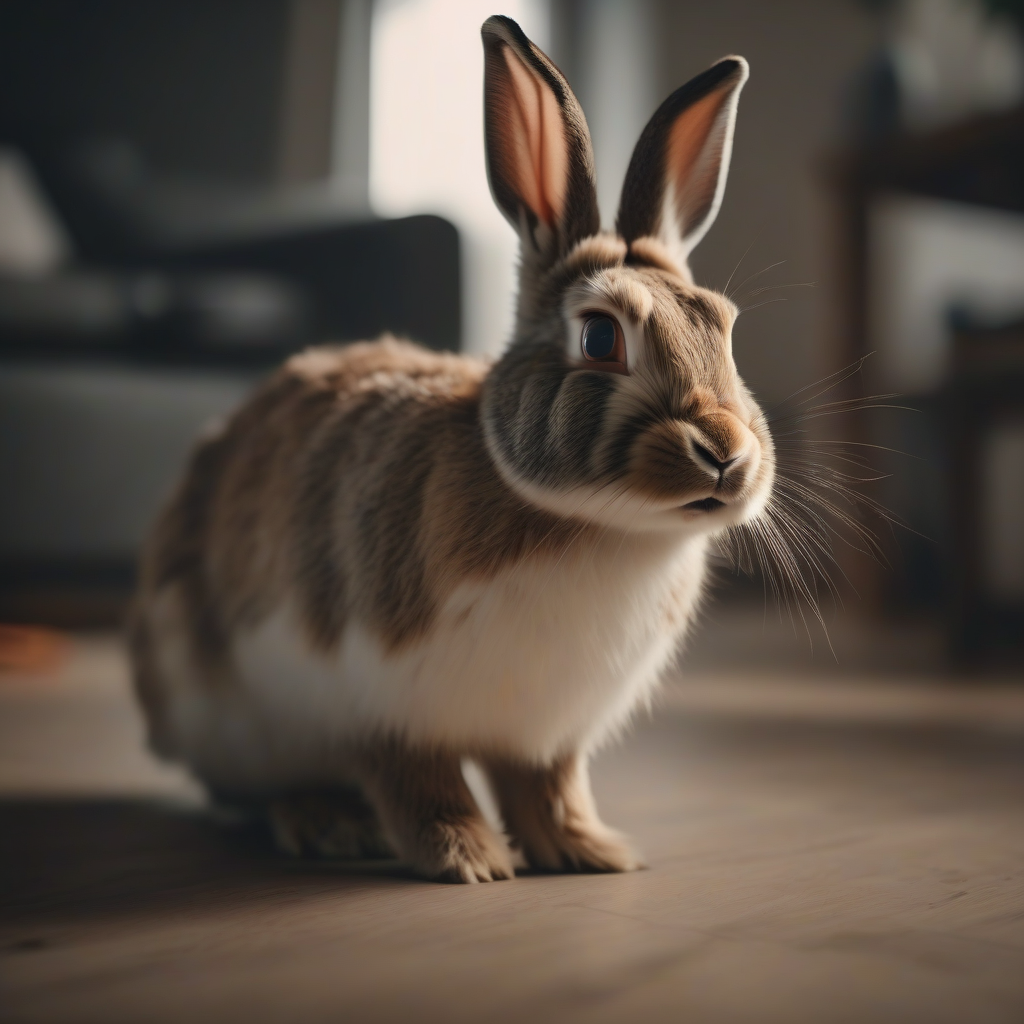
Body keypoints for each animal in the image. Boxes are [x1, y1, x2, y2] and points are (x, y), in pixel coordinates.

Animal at [129, 15, 773, 883]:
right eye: (600, 337)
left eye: (725, 328)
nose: (726, 456)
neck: (597, 525)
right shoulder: (386, 706)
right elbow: (421, 781)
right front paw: (470, 859)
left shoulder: (546, 737)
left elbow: (549, 787)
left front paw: (592, 851)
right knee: (259, 793)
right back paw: (330, 823)